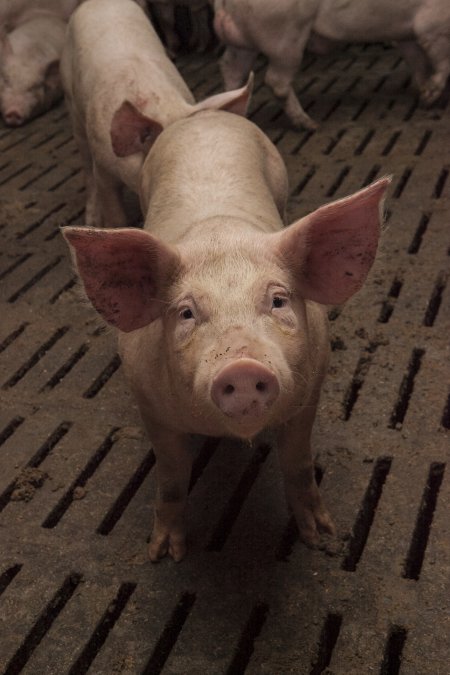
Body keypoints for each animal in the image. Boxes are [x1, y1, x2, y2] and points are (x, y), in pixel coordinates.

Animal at [61, 0, 253, 230]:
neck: (162, 106)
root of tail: (96, 2)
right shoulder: (104, 167)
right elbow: (116, 216)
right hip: (72, 103)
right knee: (86, 165)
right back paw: (91, 221)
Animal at [62, 96, 390, 560]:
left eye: (278, 300)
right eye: (186, 313)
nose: (243, 367)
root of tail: (198, 116)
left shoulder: (310, 390)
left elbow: (298, 463)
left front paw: (319, 536)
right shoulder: (148, 403)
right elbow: (172, 477)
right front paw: (166, 553)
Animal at [213, 0, 450, 129]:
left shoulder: (405, 34)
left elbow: (418, 62)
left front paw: (424, 94)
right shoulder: (433, 26)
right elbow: (442, 63)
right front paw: (430, 98)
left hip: (243, 43)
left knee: (231, 68)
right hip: (284, 36)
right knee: (276, 81)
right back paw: (309, 125)